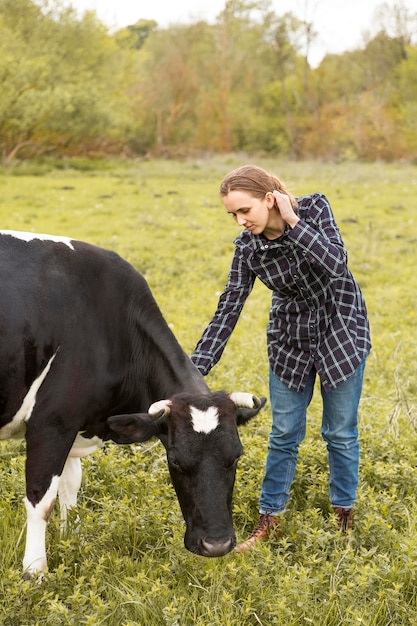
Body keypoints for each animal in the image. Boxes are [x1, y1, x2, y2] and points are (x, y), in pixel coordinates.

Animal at [0, 229, 264, 576]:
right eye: (175, 461)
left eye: (236, 456)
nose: (217, 545)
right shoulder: (51, 423)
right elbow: (41, 500)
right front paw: (35, 571)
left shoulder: (74, 423)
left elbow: (70, 487)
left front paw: (72, 541)